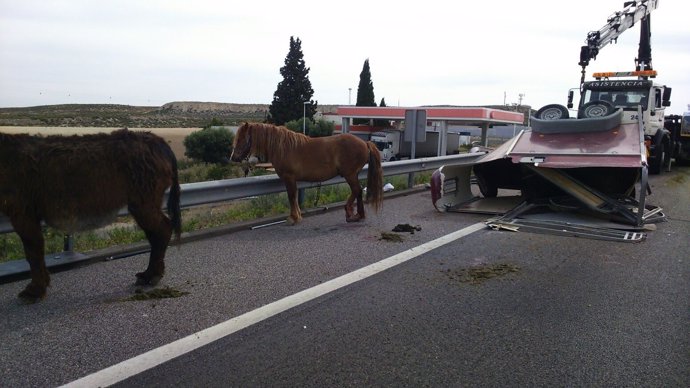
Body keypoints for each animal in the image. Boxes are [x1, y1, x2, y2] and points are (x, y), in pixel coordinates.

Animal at [0, 129, 181, 302]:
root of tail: (158, 141)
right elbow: (34, 250)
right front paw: (40, 286)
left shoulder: (22, 212)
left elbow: (33, 251)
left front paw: (34, 291)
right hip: (144, 202)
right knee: (155, 233)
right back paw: (150, 274)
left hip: (144, 200)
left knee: (162, 230)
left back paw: (151, 276)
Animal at [230, 121, 382, 224]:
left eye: (241, 139)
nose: (233, 158)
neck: (283, 148)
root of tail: (365, 143)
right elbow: (295, 196)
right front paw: (297, 215)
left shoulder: (289, 178)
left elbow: (291, 196)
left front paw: (293, 217)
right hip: (353, 175)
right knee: (358, 191)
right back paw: (358, 215)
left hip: (349, 174)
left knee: (356, 190)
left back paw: (350, 212)